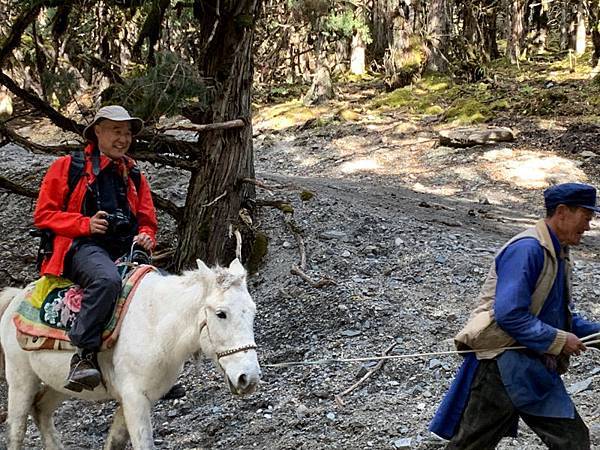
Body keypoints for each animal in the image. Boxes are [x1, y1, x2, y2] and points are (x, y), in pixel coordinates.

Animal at [0, 258, 260, 448]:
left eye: (253, 311)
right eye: (221, 313)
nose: (248, 378)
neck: (155, 323)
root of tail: (16, 298)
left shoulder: (138, 398)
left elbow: (115, 441)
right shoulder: (134, 398)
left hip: (59, 384)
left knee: (41, 410)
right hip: (21, 378)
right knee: (17, 429)